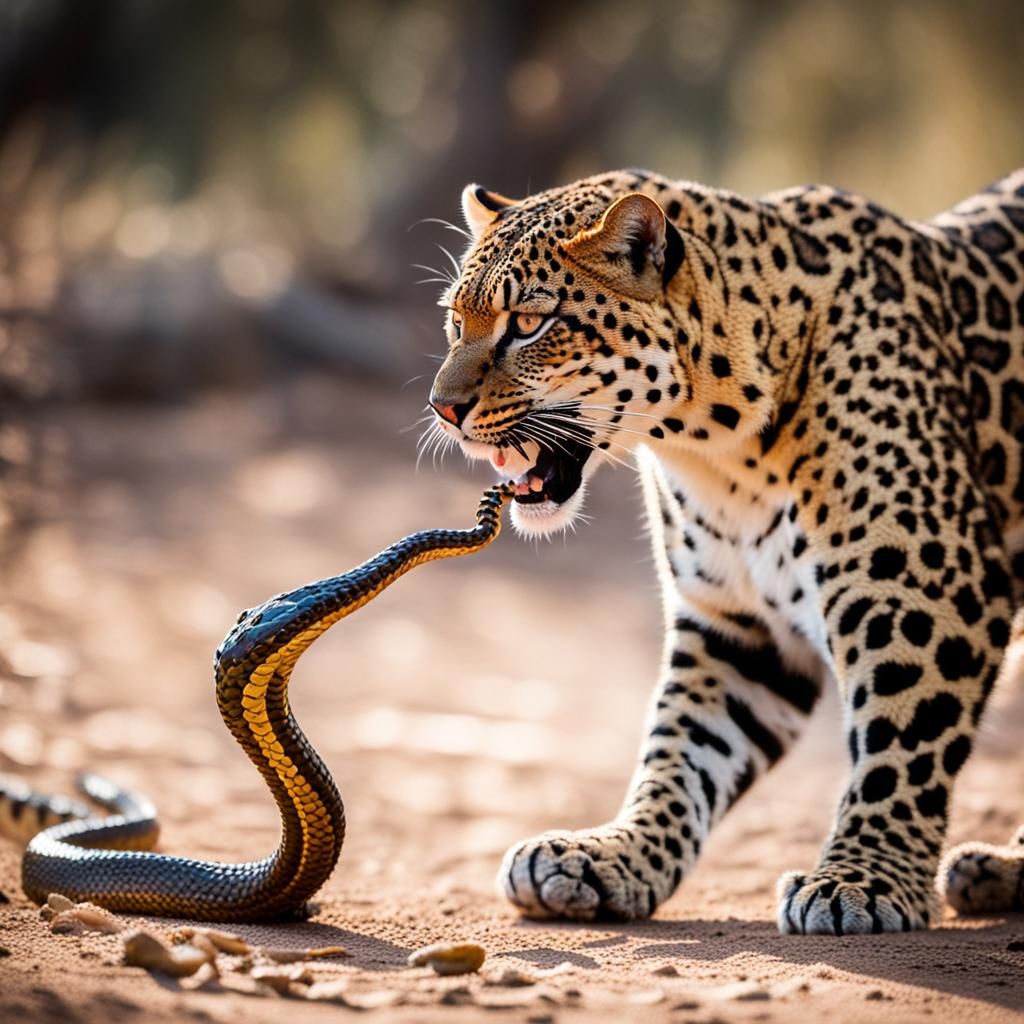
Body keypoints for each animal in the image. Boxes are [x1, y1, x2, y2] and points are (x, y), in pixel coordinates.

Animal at [425, 167, 1024, 934]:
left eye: (530, 324)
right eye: (455, 323)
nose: (443, 408)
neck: (717, 449)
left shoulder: (924, 592)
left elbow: (901, 743)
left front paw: (862, 880)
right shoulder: (737, 627)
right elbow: (682, 751)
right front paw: (613, 857)